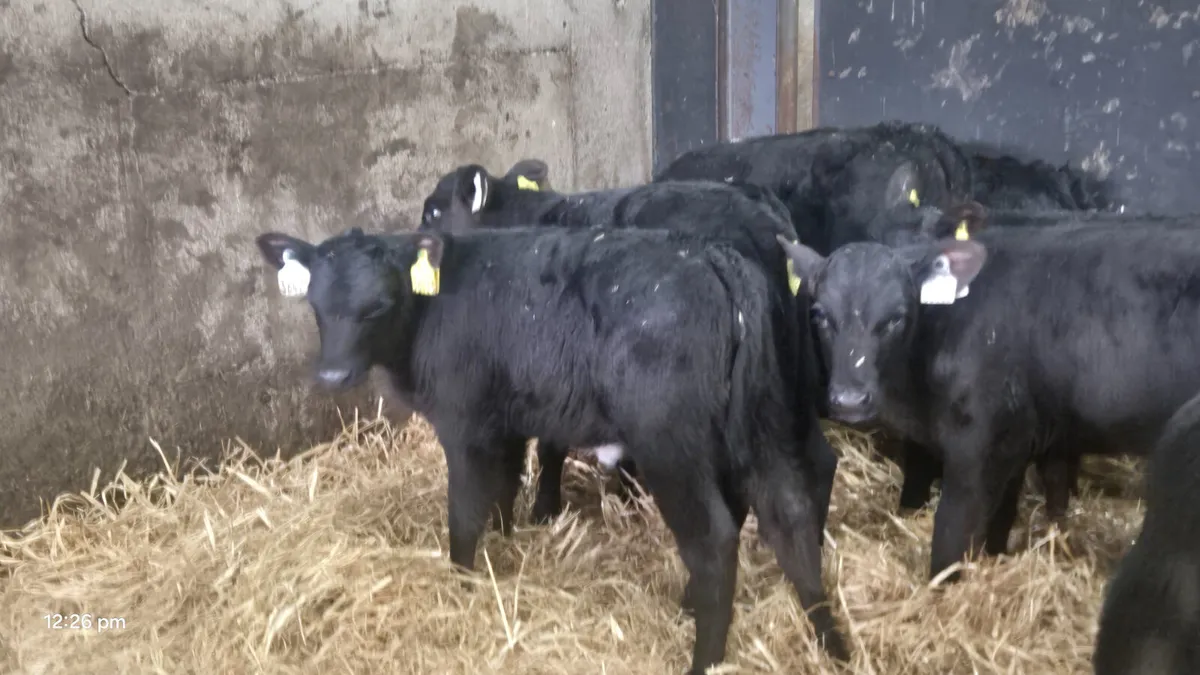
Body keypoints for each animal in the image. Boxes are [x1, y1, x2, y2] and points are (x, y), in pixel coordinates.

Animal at [254, 224, 851, 673]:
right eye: (315, 304)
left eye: (377, 306)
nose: (333, 375)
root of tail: (709, 254)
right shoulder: (506, 419)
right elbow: (503, 490)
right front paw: (505, 548)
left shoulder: (464, 423)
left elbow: (463, 513)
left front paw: (462, 584)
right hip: (763, 418)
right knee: (789, 514)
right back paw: (831, 641)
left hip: (672, 445)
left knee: (715, 541)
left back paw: (705, 658)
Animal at [775, 211, 1200, 582]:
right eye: (819, 314)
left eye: (896, 317)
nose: (850, 399)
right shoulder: (1016, 440)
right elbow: (999, 521)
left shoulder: (976, 447)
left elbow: (951, 535)